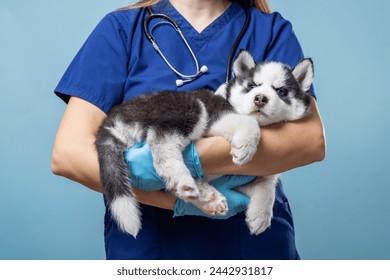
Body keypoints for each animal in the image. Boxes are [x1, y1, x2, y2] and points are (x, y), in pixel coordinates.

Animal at [95, 50, 314, 236]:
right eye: (252, 86)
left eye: (282, 92)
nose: (260, 98)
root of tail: (113, 119)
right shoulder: (217, 118)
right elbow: (250, 122)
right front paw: (245, 146)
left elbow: (267, 183)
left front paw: (260, 214)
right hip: (190, 108)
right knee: (161, 139)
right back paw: (181, 179)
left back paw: (208, 197)